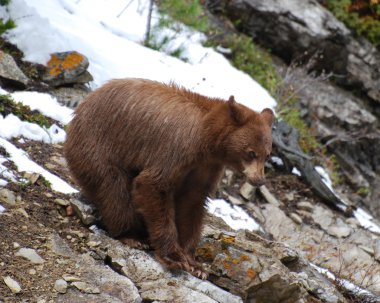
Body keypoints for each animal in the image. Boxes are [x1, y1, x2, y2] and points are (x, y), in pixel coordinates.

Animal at [64, 78, 274, 280]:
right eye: (251, 153)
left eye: (267, 154)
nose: (259, 180)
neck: (207, 141)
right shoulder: (176, 149)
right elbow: (154, 185)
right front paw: (174, 257)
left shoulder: (205, 168)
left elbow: (192, 203)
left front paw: (195, 264)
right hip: (99, 145)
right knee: (114, 189)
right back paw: (132, 235)